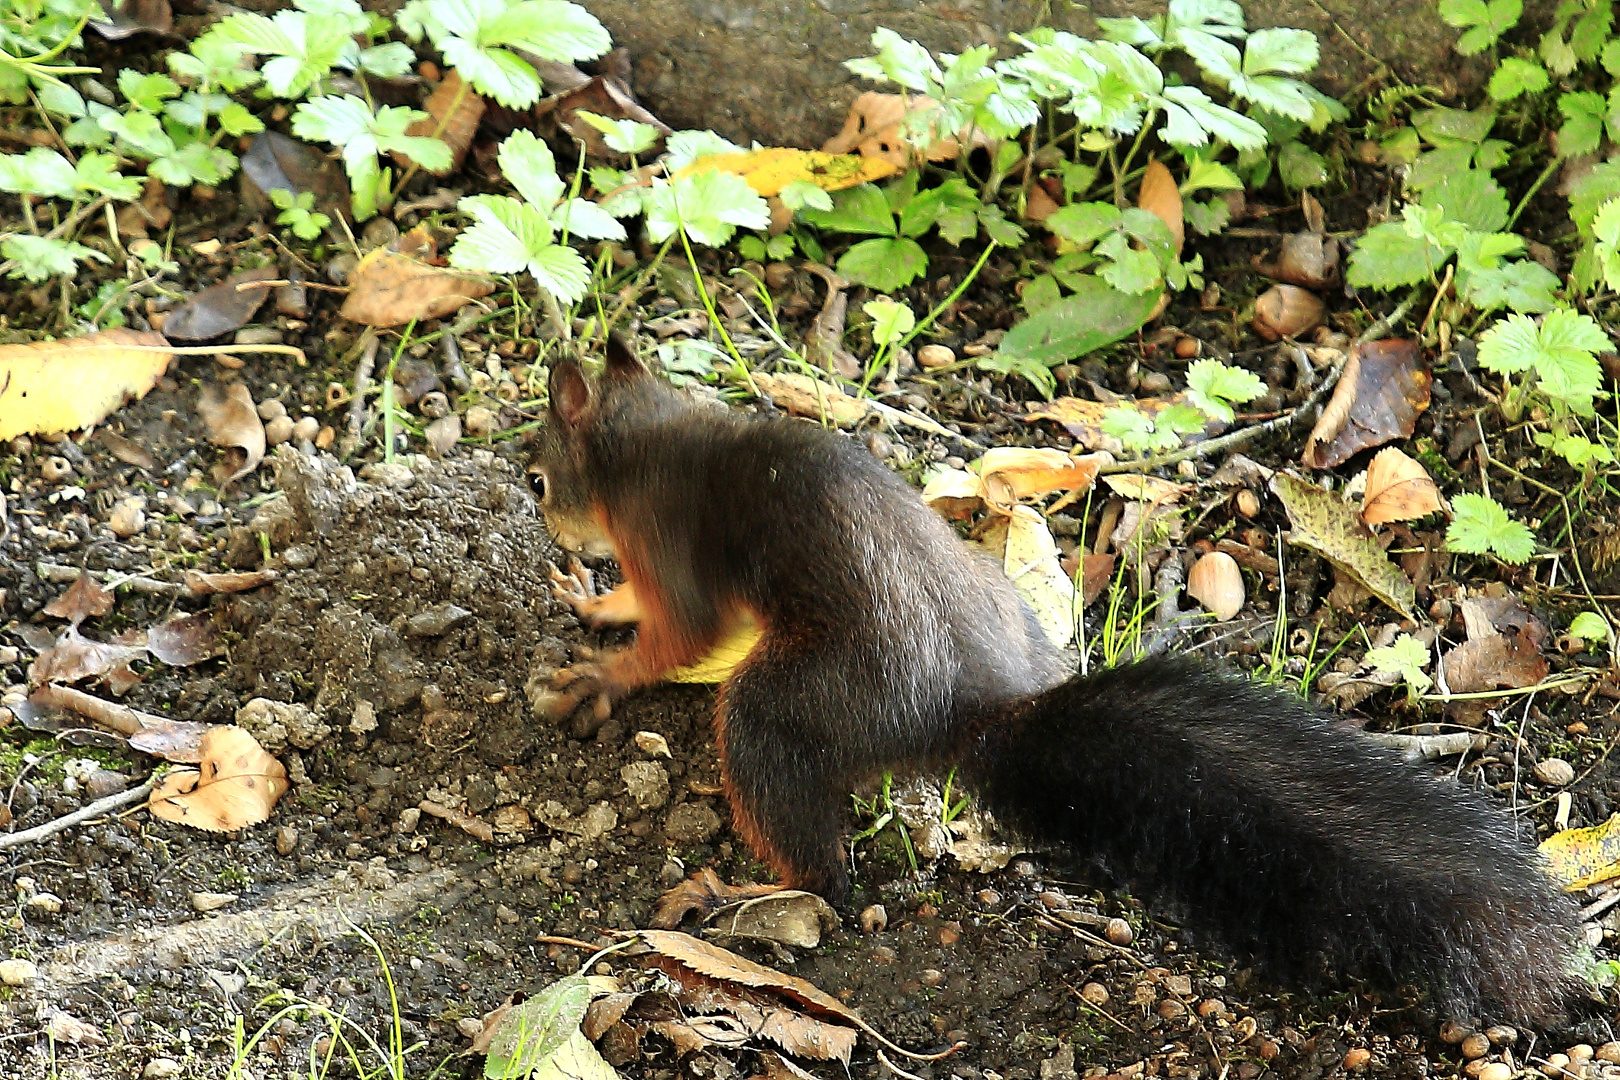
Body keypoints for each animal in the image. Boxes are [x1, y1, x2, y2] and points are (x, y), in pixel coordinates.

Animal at [528, 333, 1581, 1029]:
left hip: (791, 704)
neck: (647, 443)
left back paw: (734, 893)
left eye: (538, 478)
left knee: (817, 859)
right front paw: (593, 603)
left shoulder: (669, 543)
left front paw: (600, 666)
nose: (540, 515)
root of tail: (976, 712)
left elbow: (679, 633)